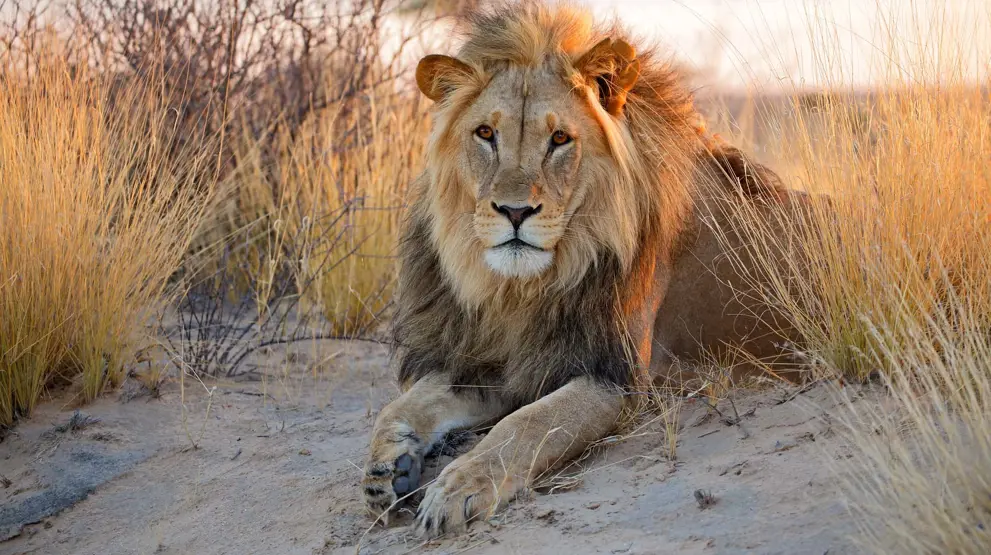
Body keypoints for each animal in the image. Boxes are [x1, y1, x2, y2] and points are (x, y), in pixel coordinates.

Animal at [360, 0, 824, 540]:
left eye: (560, 139)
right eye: (485, 134)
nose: (514, 212)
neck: (521, 290)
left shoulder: (615, 377)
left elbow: (526, 425)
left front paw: (459, 487)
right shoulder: (502, 360)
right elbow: (405, 404)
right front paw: (387, 469)